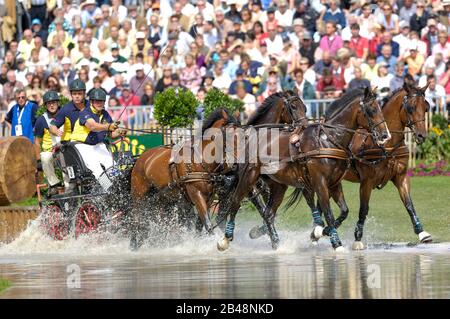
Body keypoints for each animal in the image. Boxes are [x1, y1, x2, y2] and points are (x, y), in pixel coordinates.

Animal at [128, 109, 241, 251]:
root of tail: (141, 158)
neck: (201, 160)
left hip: (162, 199)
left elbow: (200, 224)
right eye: (229, 135)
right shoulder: (196, 193)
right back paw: (134, 245)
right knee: (137, 220)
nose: (236, 164)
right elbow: (207, 222)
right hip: (139, 196)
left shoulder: (209, 197)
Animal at [218, 87, 390, 252]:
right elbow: (328, 213)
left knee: (268, 214)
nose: (385, 135)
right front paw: (335, 242)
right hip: (249, 177)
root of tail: (251, 138)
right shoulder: (320, 183)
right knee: (235, 203)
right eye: (371, 110)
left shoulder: (334, 184)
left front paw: (320, 232)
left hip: (278, 185)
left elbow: (343, 211)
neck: (326, 140)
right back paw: (225, 239)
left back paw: (276, 244)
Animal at [310, 83, 432, 250]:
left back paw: (319, 232)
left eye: (426, 107)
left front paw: (422, 232)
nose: (421, 135)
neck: (385, 145)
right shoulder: (367, 182)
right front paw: (357, 238)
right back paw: (319, 232)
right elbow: (364, 209)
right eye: (411, 108)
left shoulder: (401, 177)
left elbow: (409, 204)